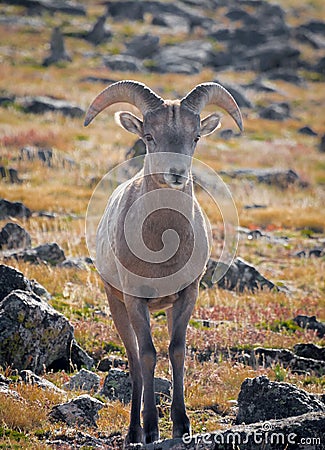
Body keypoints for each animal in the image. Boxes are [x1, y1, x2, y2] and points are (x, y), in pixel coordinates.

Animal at [85, 80, 242, 442]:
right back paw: (134, 432)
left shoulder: (187, 296)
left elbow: (176, 350)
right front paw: (151, 429)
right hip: (117, 305)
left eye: (195, 137)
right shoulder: (135, 300)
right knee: (133, 362)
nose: (176, 174)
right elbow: (147, 355)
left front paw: (182, 425)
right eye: (149, 136)